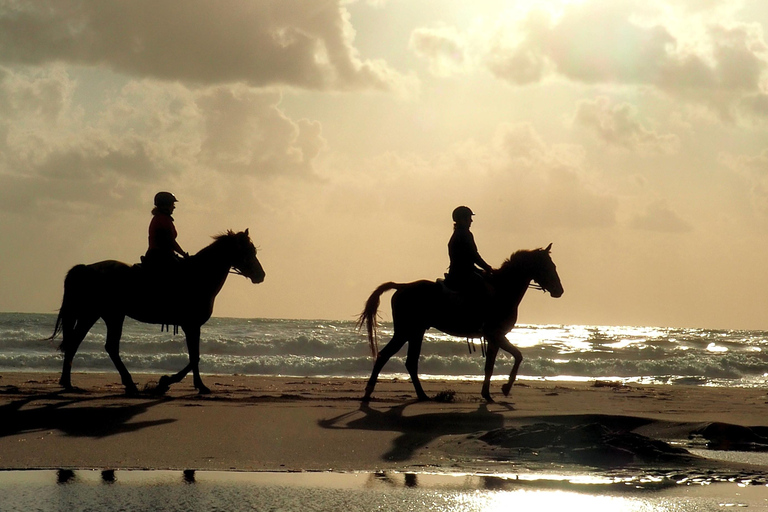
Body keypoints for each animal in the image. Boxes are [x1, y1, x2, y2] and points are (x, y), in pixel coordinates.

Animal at [50, 230, 268, 394]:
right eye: (247, 251)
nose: (261, 275)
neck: (199, 276)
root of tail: (87, 268)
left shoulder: (192, 326)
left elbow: (194, 356)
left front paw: (193, 384)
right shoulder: (191, 325)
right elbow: (194, 357)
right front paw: (169, 382)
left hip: (95, 314)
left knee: (77, 343)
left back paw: (68, 383)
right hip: (109, 315)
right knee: (106, 346)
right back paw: (127, 383)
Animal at [356, 245, 560, 404]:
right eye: (548, 266)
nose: (560, 291)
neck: (503, 290)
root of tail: (403, 286)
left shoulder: (494, 338)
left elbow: (490, 365)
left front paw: (487, 394)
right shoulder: (496, 334)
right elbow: (517, 356)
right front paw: (505, 388)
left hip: (416, 332)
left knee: (410, 362)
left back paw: (421, 395)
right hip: (405, 331)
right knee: (385, 356)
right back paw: (368, 392)